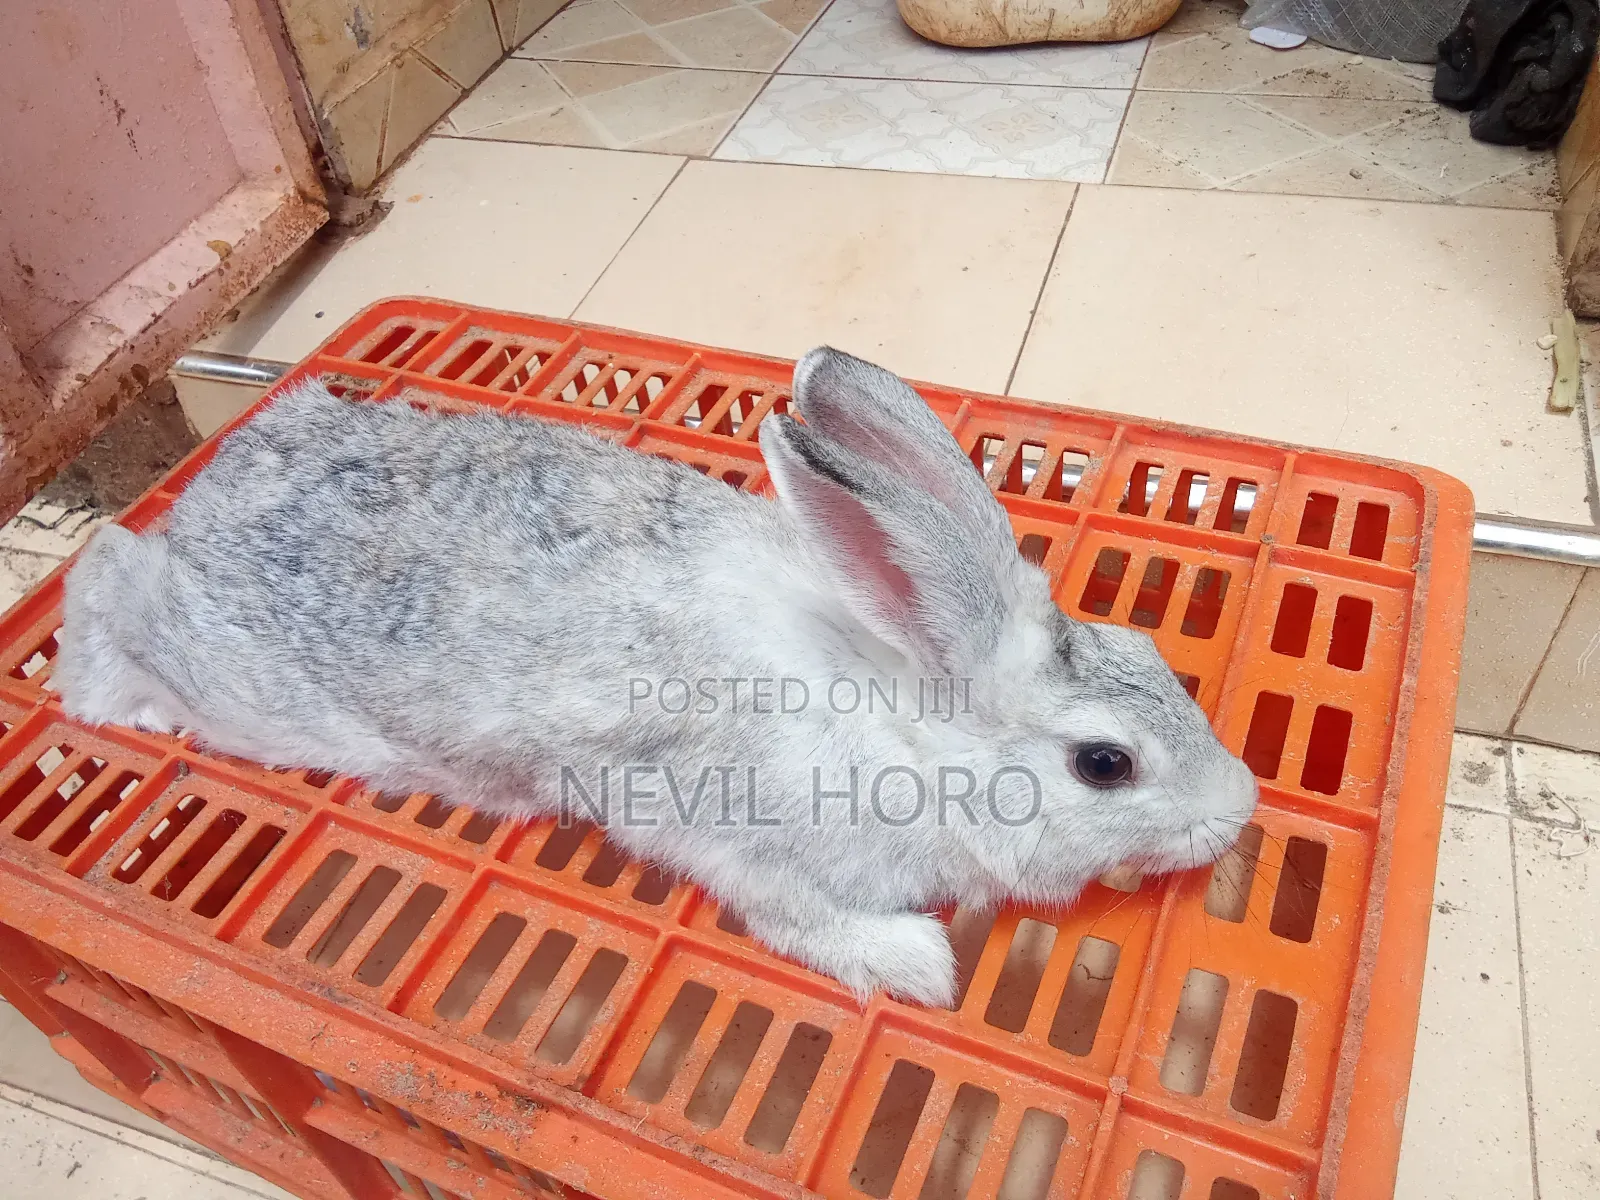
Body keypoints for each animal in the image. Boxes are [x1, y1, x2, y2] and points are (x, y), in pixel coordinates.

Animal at [53, 347, 1259, 1007]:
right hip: (209, 664)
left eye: (1154, 654)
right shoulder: (735, 840)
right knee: (105, 577)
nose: (1241, 807)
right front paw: (916, 965)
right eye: (1104, 764)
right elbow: (796, 918)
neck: (904, 708)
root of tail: (214, 477)